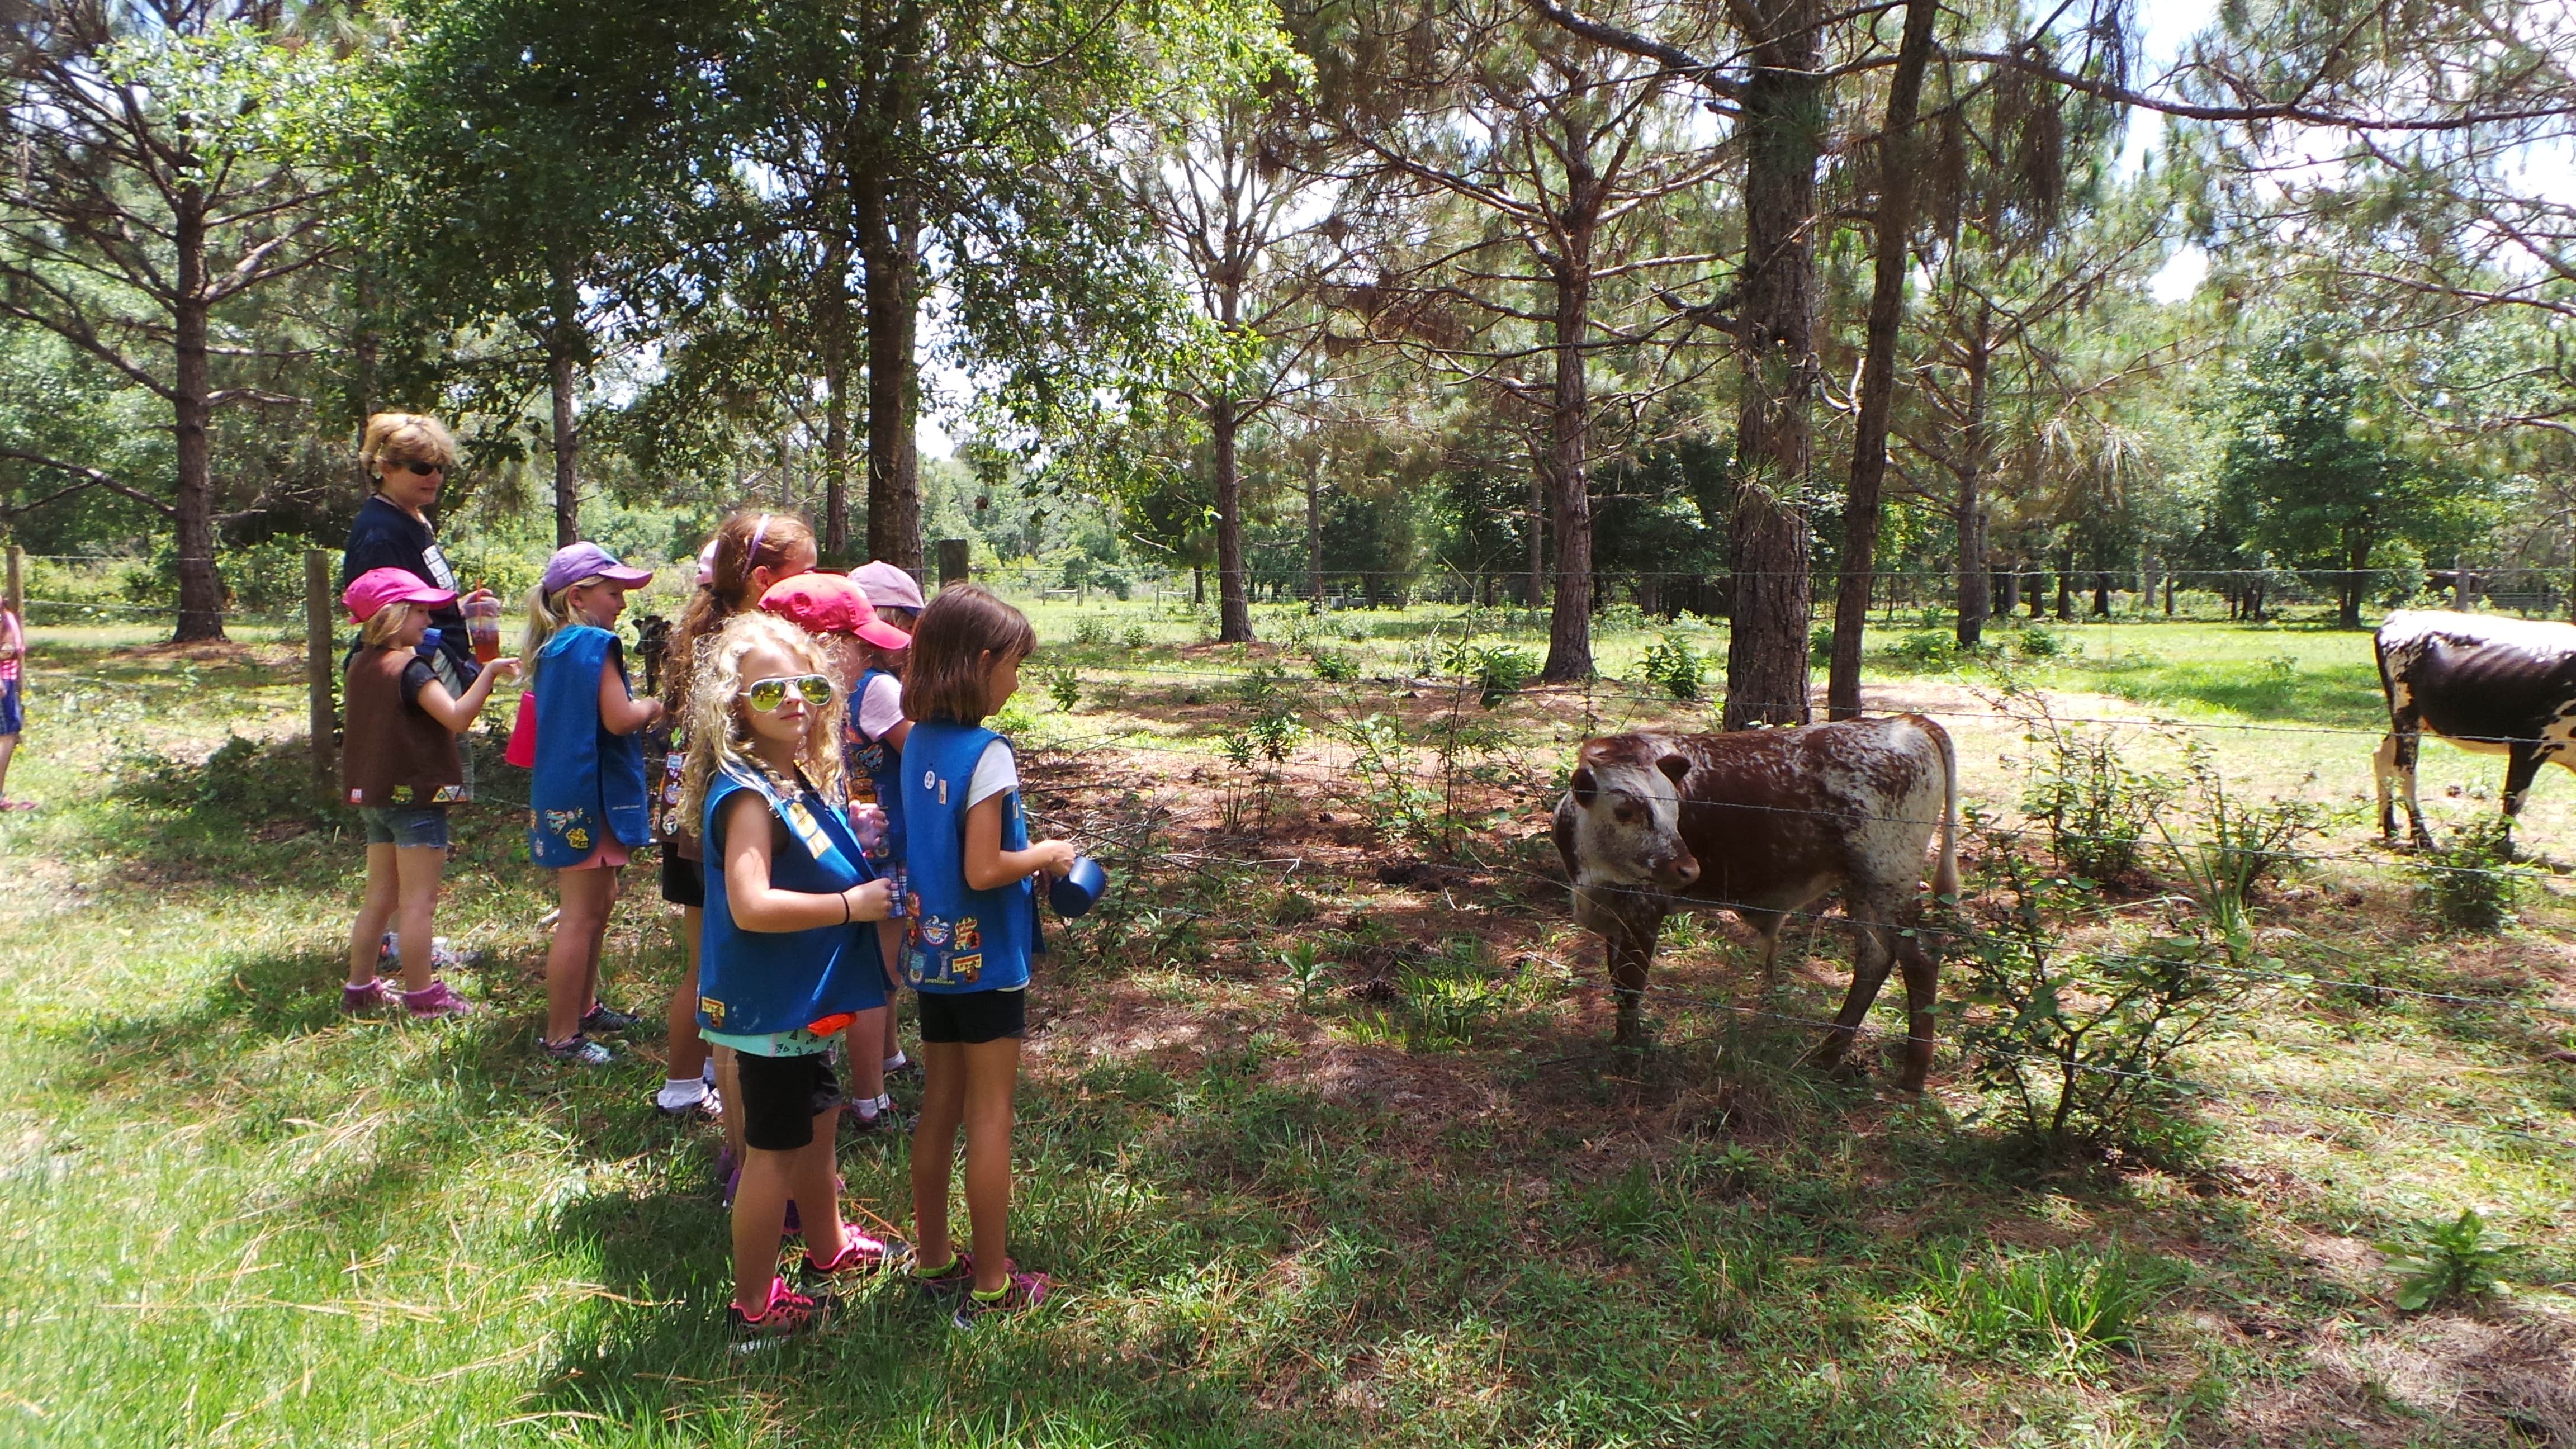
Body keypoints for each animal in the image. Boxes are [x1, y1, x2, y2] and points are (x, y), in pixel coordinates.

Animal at [1556, 711, 1958, 1083]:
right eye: (1625, 810)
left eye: (1674, 807)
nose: (1688, 869)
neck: (1596, 873)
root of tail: (1905, 722)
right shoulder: (1615, 915)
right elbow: (1618, 983)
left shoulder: (1644, 911)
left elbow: (1630, 987)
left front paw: (1629, 1059)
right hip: (1863, 886)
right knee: (1875, 957)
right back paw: (1827, 1057)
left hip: (1889, 878)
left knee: (1919, 960)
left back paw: (1912, 1075)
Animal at [2370, 603, 2576, 840]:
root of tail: (2403, 615)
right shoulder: (2530, 742)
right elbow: (2514, 799)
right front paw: (2500, 844)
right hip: (2406, 713)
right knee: (2405, 769)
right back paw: (2421, 836)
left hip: (2413, 719)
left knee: (2381, 755)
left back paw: (2390, 826)